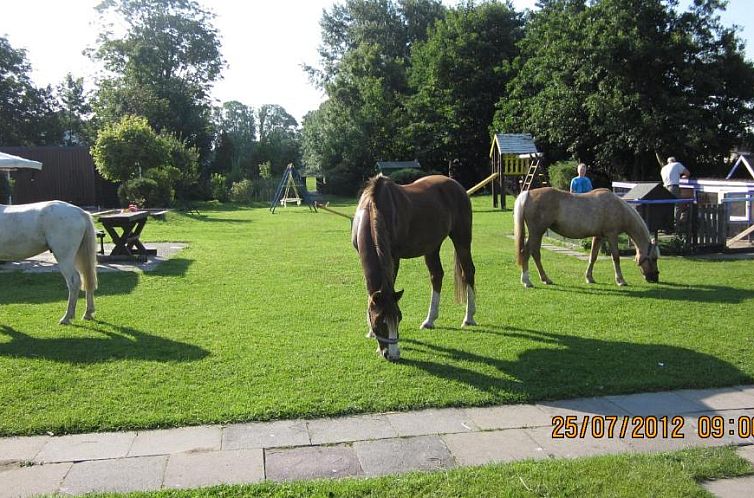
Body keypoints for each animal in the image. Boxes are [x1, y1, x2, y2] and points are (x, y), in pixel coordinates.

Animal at [352, 175, 476, 362]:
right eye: (379, 321)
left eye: (399, 318)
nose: (393, 355)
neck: (374, 208)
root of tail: (456, 186)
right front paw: (370, 333)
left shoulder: (394, 257)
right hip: (432, 246)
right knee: (436, 275)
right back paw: (430, 320)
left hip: (461, 238)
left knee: (468, 271)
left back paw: (468, 318)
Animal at [512, 188, 656, 288]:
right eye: (654, 258)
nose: (655, 278)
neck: (618, 207)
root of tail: (528, 193)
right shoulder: (612, 235)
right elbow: (616, 257)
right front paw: (620, 280)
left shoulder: (599, 237)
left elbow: (593, 256)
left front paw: (589, 278)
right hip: (537, 232)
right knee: (527, 252)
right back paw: (527, 281)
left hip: (538, 233)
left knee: (535, 253)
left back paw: (545, 279)